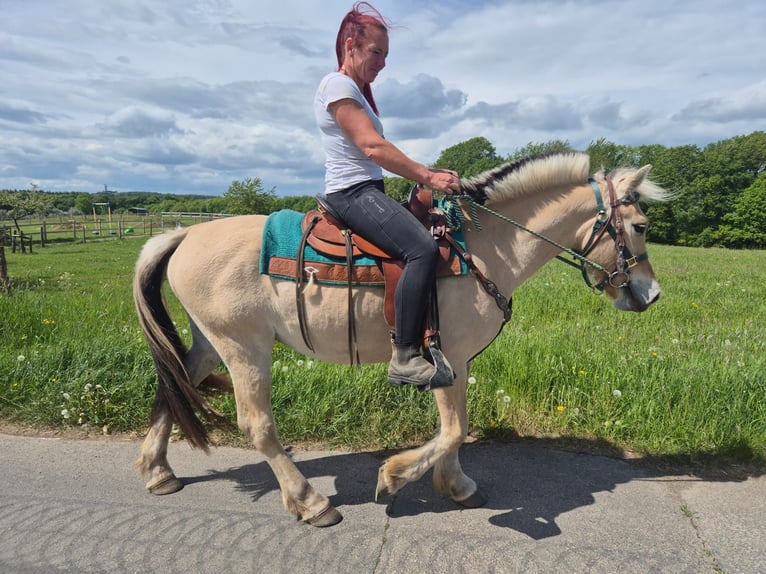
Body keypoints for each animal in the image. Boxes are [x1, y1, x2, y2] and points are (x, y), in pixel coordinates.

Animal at [133, 152, 671, 527]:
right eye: (641, 226)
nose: (651, 294)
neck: (485, 248)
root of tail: (183, 235)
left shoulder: (458, 362)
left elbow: (456, 428)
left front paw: (455, 485)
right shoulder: (447, 356)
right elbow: (454, 429)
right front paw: (393, 478)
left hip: (211, 343)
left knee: (174, 385)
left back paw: (158, 472)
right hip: (245, 347)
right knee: (258, 426)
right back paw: (310, 502)